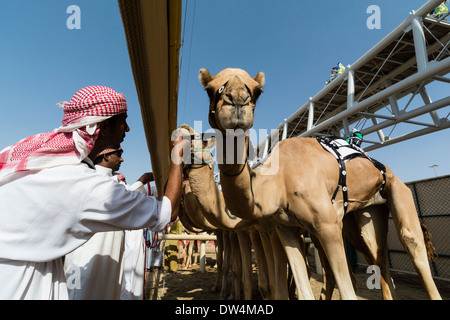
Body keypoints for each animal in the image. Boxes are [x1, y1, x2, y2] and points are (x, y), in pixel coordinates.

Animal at [199, 67, 442, 300]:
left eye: (258, 91)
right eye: (209, 89)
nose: (237, 100)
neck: (278, 182)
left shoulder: (327, 224)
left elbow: (348, 291)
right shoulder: (286, 228)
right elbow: (304, 289)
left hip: (397, 189)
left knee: (412, 242)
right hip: (368, 211)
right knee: (377, 254)